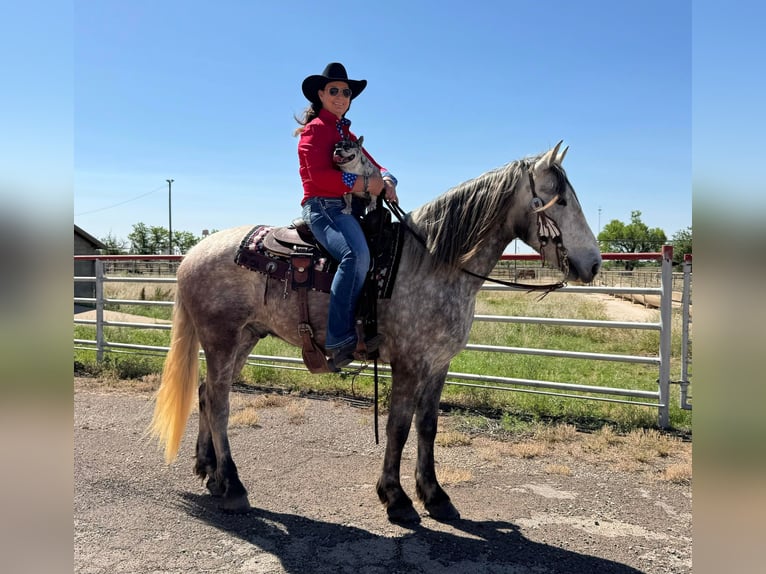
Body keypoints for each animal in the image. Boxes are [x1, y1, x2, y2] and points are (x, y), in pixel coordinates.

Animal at [152, 142, 608, 524]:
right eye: (561, 199)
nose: (594, 263)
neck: (432, 263)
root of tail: (192, 254)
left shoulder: (438, 365)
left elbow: (428, 426)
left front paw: (435, 495)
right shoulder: (408, 363)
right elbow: (398, 427)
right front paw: (396, 498)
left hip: (244, 339)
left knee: (206, 394)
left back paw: (208, 471)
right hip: (223, 340)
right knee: (220, 404)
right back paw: (232, 484)